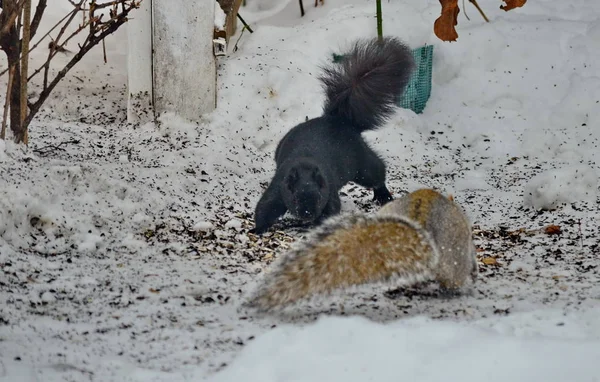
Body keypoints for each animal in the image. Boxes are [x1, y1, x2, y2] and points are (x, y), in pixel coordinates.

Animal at [251, 36, 414, 233]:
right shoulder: (279, 186)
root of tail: (338, 120)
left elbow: (331, 211)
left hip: (362, 165)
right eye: (295, 197)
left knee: (376, 172)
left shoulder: (329, 190)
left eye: (319, 197)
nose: (308, 214)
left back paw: (383, 194)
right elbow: (265, 207)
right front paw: (257, 229)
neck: (305, 164)